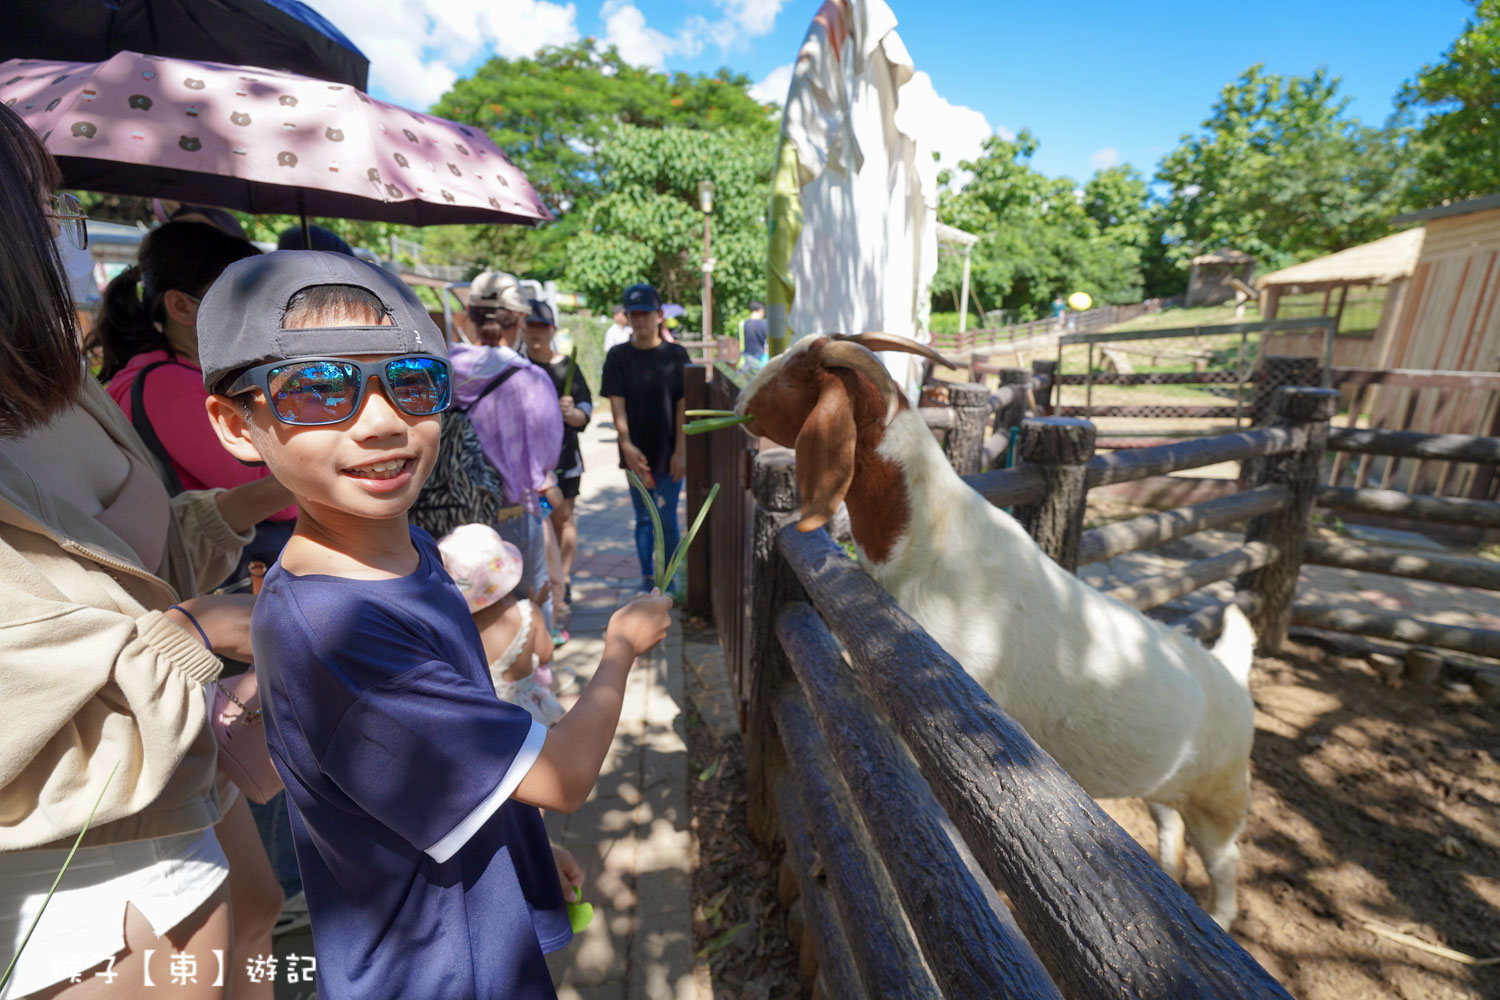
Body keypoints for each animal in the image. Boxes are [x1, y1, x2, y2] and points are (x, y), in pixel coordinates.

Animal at [744, 335, 1260, 929]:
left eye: (794, 377)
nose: (739, 400)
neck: (924, 539)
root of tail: (1231, 670)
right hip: (1169, 787)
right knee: (1169, 823)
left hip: (1222, 797)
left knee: (1226, 858)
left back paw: (1220, 918)